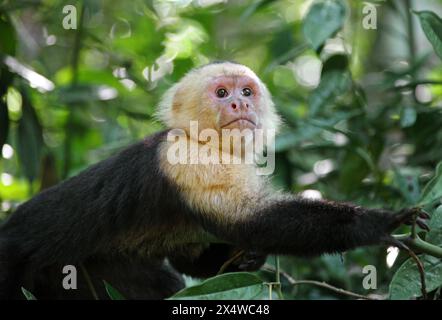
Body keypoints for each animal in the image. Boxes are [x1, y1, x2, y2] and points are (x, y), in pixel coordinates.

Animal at [0, 61, 428, 298]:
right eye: (221, 93)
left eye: (246, 91)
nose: (239, 103)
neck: (204, 140)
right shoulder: (190, 160)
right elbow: (252, 220)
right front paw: (376, 223)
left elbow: (191, 256)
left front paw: (248, 258)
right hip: (20, 265)